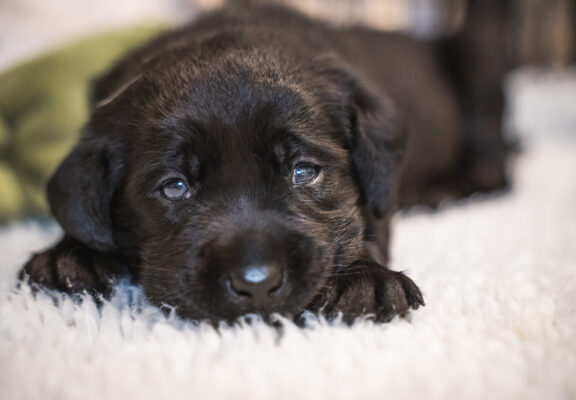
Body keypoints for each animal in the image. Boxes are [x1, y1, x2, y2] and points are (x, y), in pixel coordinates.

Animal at [21, 3, 508, 324]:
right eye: (174, 186)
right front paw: (71, 256)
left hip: (481, 65)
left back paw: (442, 192)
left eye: (304, 171)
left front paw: (364, 282)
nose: (255, 283)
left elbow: (362, 227)